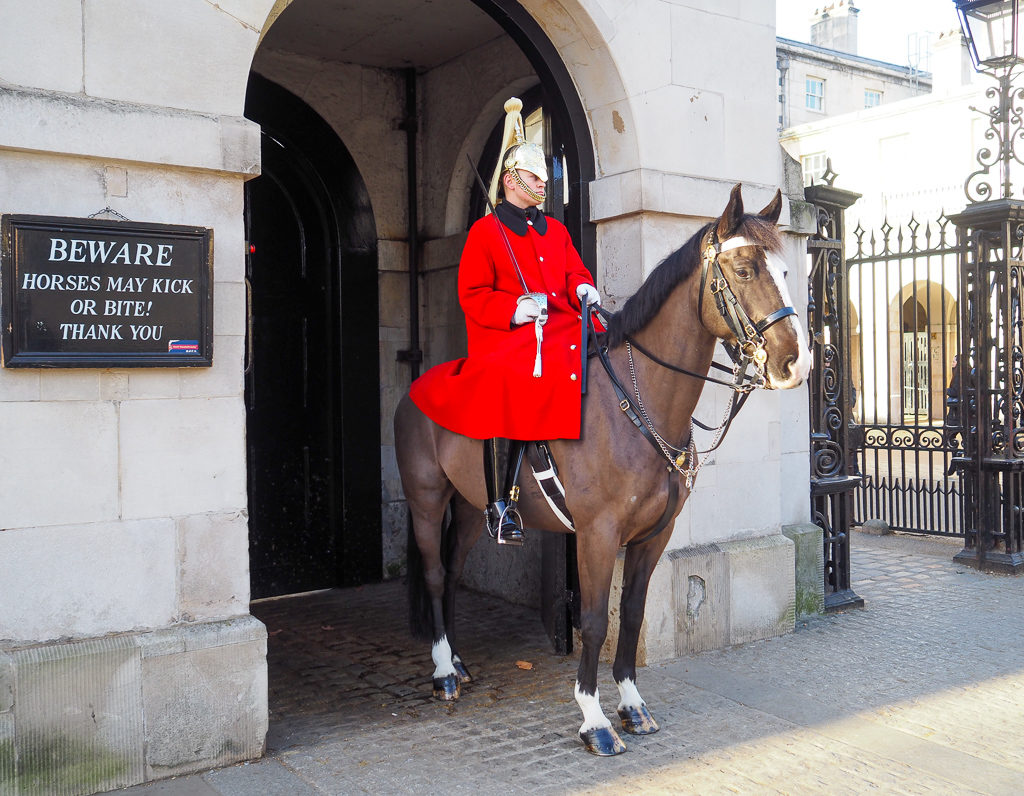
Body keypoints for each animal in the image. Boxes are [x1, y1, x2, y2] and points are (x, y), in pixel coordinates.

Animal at [395, 183, 811, 753]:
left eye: (786, 270)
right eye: (745, 269)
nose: (796, 362)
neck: (637, 405)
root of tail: (415, 389)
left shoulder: (655, 534)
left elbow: (631, 614)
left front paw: (632, 704)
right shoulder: (596, 533)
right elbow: (594, 620)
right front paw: (593, 718)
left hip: (469, 506)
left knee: (454, 570)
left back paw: (456, 660)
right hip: (426, 498)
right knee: (436, 573)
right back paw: (442, 673)